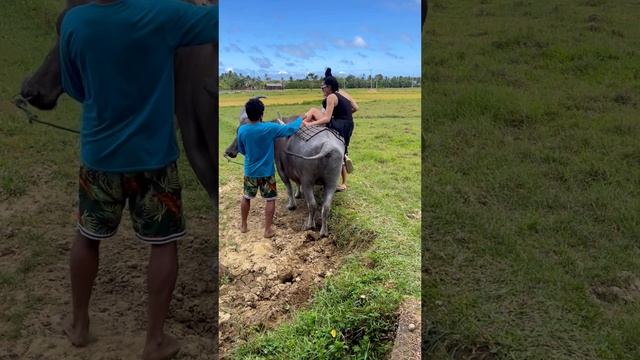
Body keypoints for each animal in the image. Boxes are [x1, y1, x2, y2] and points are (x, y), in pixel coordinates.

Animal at [225, 105, 344, 238]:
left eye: (238, 132)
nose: (228, 151)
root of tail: (327, 146)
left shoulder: (281, 170)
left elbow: (289, 188)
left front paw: (291, 205)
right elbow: (296, 183)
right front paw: (298, 194)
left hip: (308, 181)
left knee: (312, 204)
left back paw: (309, 225)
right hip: (331, 182)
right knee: (326, 207)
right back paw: (324, 231)